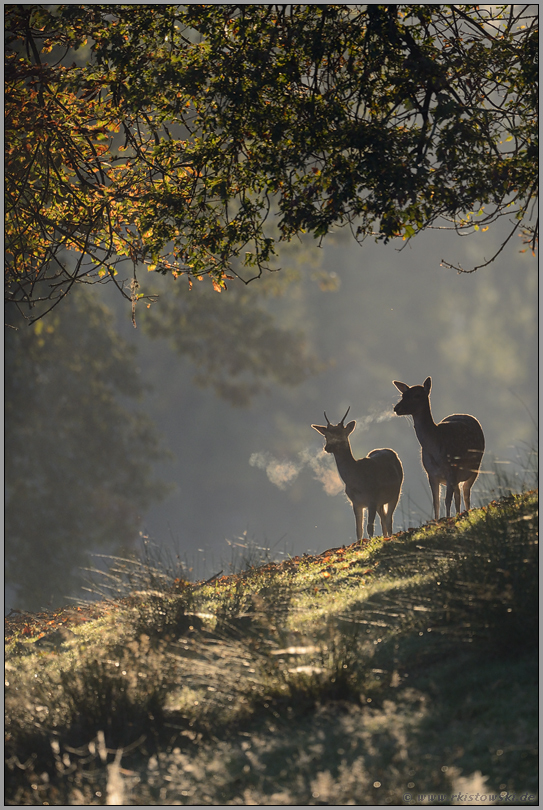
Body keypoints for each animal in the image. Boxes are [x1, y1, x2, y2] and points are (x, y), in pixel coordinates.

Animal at [310, 408, 404, 540]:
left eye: (341, 434)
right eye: (326, 435)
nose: (327, 447)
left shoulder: (372, 499)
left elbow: (369, 527)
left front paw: (371, 542)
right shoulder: (355, 503)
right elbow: (358, 530)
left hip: (396, 492)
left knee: (389, 519)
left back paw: (389, 537)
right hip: (381, 502)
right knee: (384, 518)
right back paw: (385, 536)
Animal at [394, 374, 486, 516]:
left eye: (417, 395)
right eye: (403, 395)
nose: (396, 408)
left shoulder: (451, 471)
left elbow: (447, 501)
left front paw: (447, 518)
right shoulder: (431, 474)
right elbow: (436, 503)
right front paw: (438, 519)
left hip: (474, 467)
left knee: (466, 492)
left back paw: (467, 512)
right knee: (458, 494)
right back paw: (459, 513)